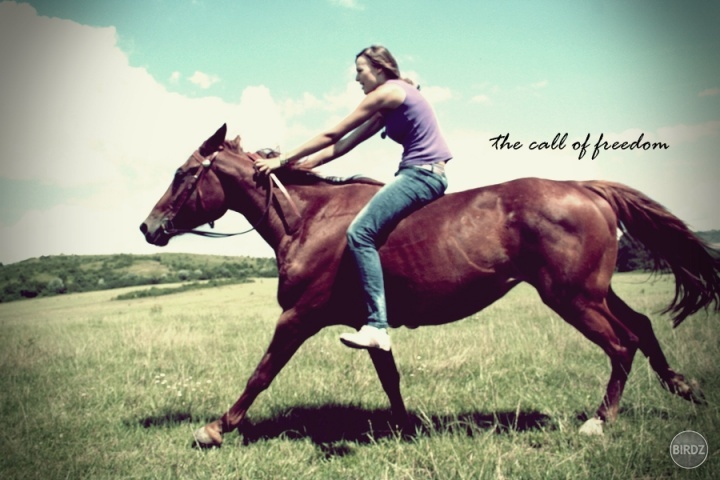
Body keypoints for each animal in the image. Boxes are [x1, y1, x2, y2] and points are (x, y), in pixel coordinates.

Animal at [139, 124, 716, 446]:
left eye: (183, 172)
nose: (148, 227)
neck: (309, 221)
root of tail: (586, 187)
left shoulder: (299, 316)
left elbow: (261, 373)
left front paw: (216, 427)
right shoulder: (367, 322)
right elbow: (390, 377)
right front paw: (407, 429)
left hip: (572, 298)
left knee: (622, 344)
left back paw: (600, 422)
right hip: (596, 291)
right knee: (642, 327)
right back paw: (684, 387)